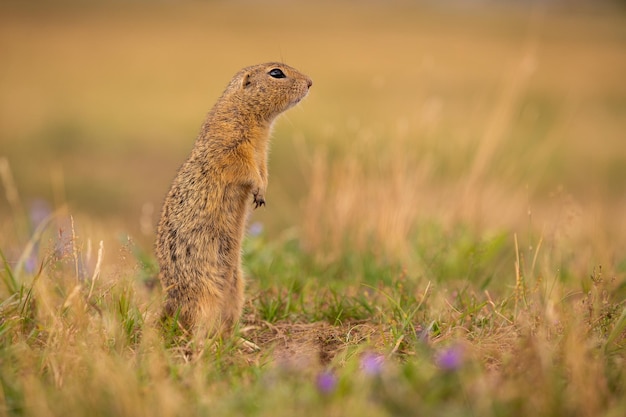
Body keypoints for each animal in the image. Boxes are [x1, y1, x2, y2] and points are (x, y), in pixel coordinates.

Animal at [155, 61, 310, 334]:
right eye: (276, 73)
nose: (311, 82)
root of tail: (171, 305)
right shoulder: (232, 143)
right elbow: (243, 166)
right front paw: (258, 190)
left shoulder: (262, 153)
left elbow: (263, 168)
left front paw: (263, 190)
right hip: (204, 294)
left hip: (238, 287)